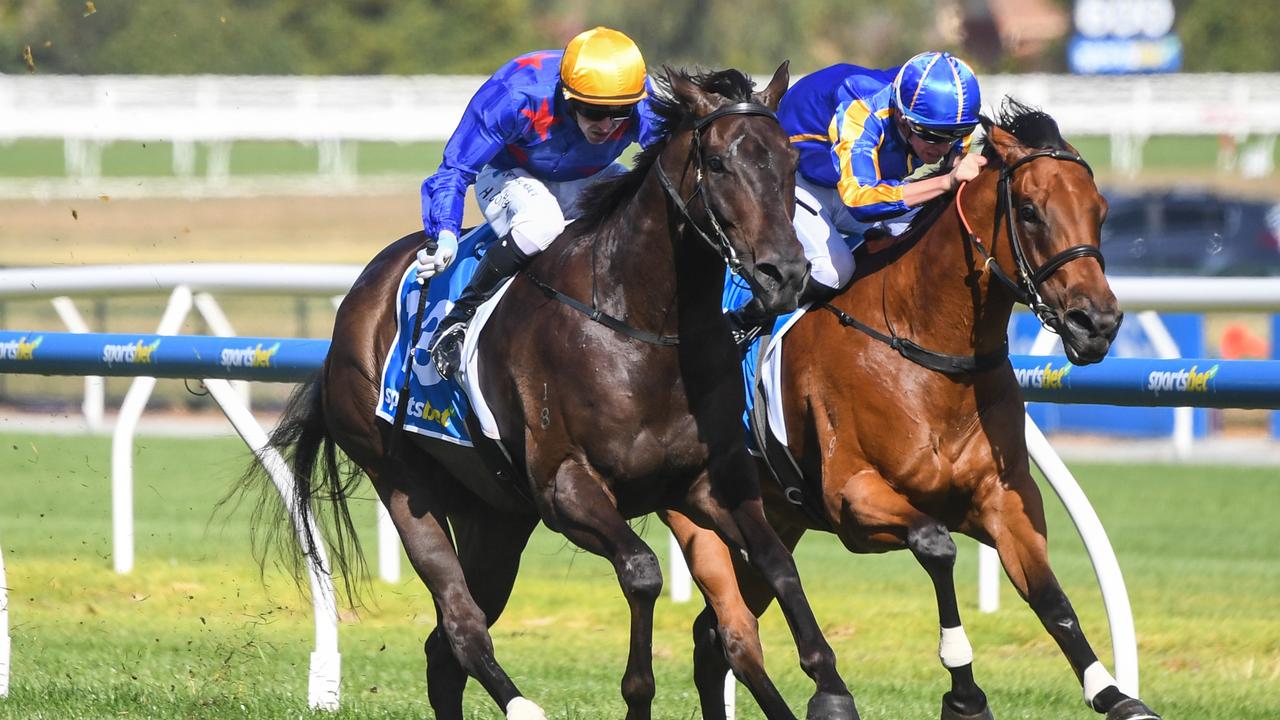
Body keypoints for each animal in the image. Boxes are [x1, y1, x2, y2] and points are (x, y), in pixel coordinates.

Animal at [244, 65, 860, 717]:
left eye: (791, 161)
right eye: (718, 163)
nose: (785, 273)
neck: (640, 326)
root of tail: (357, 300)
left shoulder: (708, 481)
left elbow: (778, 564)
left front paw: (831, 689)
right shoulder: (566, 487)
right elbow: (642, 571)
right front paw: (638, 694)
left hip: (496, 515)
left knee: (444, 648)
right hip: (402, 482)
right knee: (462, 626)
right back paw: (522, 704)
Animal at [670, 99, 1162, 717]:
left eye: (1100, 210)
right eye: (1029, 210)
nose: (1096, 323)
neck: (925, 349)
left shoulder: (1004, 498)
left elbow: (1052, 599)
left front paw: (1113, 692)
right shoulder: (854, 497)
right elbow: (936, 545)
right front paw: (965, 693)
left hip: (775, 521)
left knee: (711, 638)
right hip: (703, 520)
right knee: (727, 633)